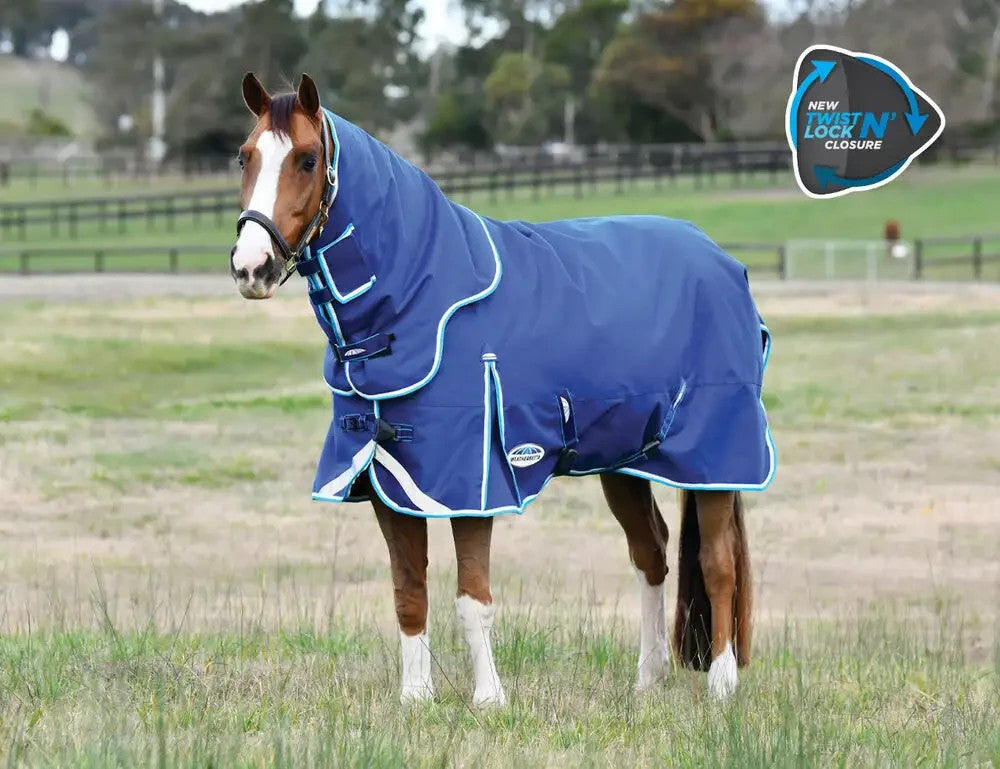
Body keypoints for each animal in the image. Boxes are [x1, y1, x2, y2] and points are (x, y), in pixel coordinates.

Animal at [230, 73, 774, 705]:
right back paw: (647, 679)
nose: (251, 267)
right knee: (652, 555)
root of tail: (722, 260)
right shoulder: (390, 480)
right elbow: (408, 591)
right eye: (244, 156)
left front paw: (488, 699)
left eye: (307, 159)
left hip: (718, 460)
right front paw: (415, 699)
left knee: (717, 562)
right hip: (624, 462)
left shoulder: (471, 482)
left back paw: (722, 682)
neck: (422, 302)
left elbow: (473, 598)